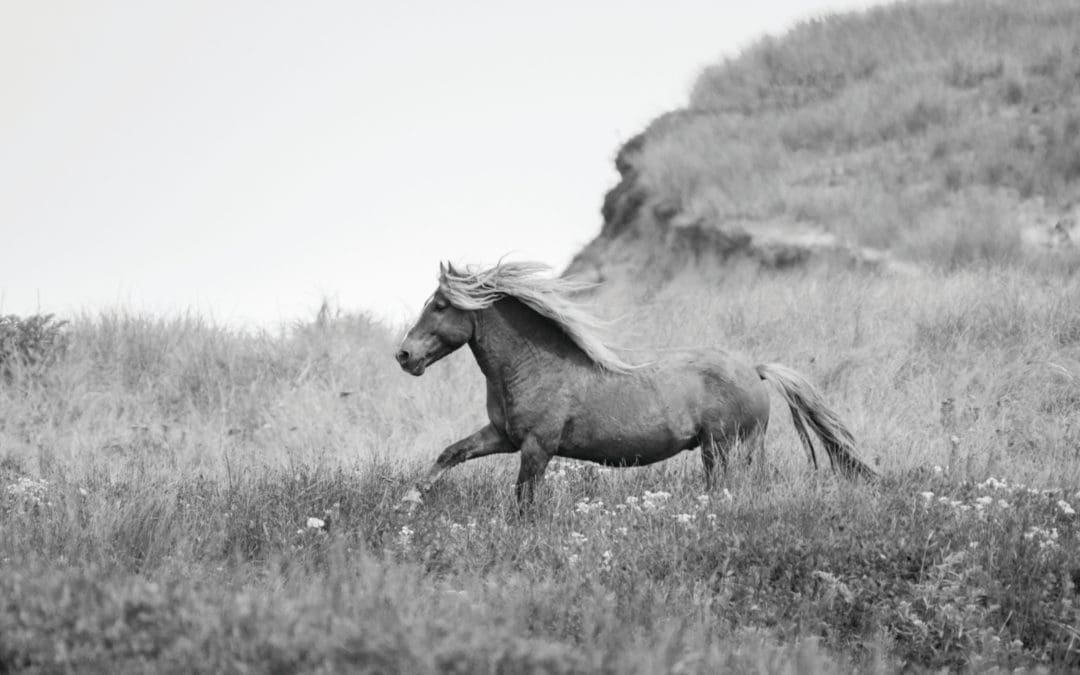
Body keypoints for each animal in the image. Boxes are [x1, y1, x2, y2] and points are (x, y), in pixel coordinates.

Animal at [397, 260, 876, 507]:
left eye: (440, 305)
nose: (404, 356)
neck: (534, 367)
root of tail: (754, 370)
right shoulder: (503, 436)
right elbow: (451, 453)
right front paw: (411, 500)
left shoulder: (536, 447)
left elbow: (523, 499)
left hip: (723, 447)